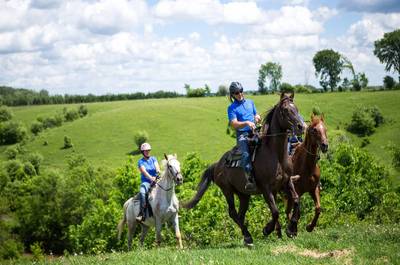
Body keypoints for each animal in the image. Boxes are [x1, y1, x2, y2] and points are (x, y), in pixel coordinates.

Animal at [184, 92, 304, 244]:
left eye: (296, 108)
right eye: (286, 110)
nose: (301, 127)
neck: (276, 155)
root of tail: (217, 165)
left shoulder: (286, 182)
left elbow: (296, 200)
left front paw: (291, 229)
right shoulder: (266, 188)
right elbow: (275, 211)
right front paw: (267, 229)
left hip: (243, 195)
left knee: (240, 215)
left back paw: (247, 237)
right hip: (227, 191)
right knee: (233, 213)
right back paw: (248, 236)